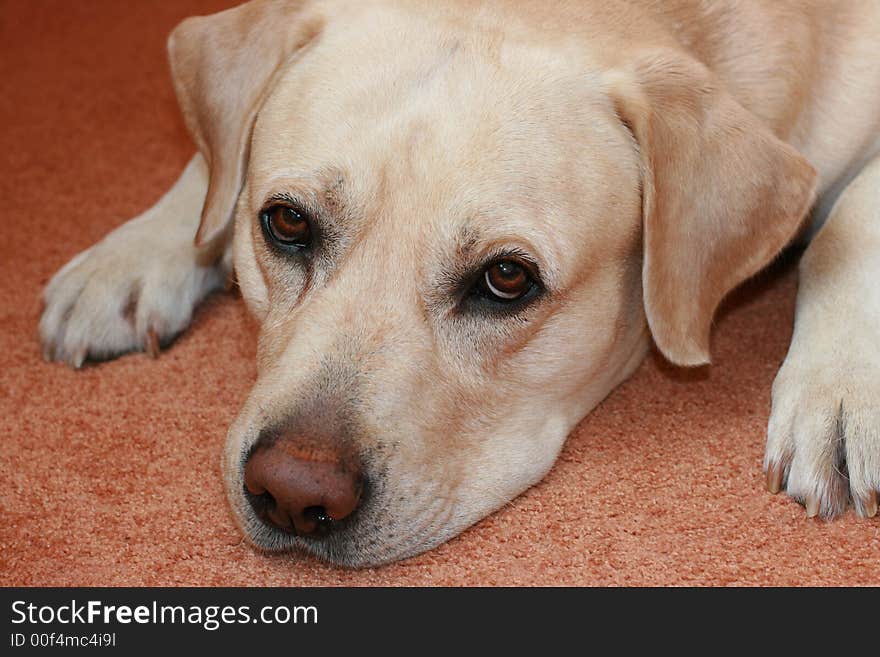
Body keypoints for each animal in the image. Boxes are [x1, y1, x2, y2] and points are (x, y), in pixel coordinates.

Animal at [39, 0, 880, 564]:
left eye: (506, 277)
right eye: (284, 222)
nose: (293, 492)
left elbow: (852, 218)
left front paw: (840, 394)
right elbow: (216, 168)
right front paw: (137, 249)